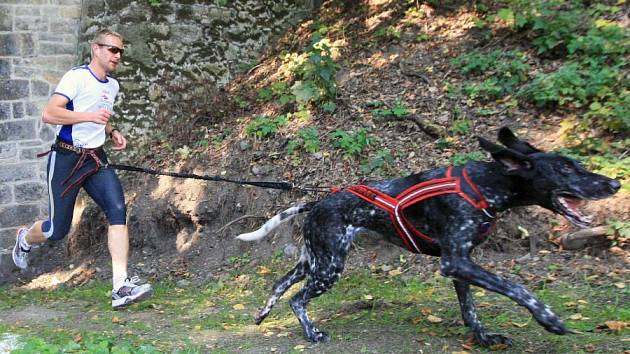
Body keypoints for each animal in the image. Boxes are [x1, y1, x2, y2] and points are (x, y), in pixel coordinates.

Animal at [237, 126, 624, 346]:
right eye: (565, 168)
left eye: (576, 163)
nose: (615, 183)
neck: (483, 186)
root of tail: (316, 201)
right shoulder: (455, 262)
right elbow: (516, 287)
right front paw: (548, 319)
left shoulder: (462, 264)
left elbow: (470, 310)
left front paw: (484, 338)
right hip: (329, 267)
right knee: (297, 299)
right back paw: (311, 333)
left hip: (315, 261)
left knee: (280, 284)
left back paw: (261, 315)